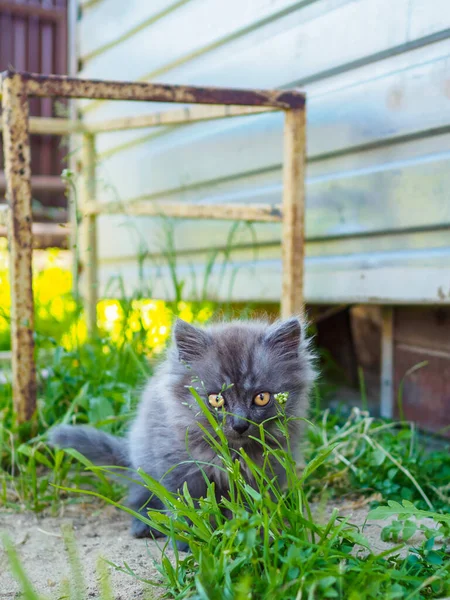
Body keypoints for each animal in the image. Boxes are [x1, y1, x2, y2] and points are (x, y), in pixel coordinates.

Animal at [49, 316, 314, 540]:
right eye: (216, 399)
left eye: (261, 398)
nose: (239, 424)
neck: (232, 454)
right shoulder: (179, 467)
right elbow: (189, 508)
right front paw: (194, 540)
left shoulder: (269, 469)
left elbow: (253, 505)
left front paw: (257, 533)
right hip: (144, 459)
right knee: (138, 496)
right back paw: (144, 526)